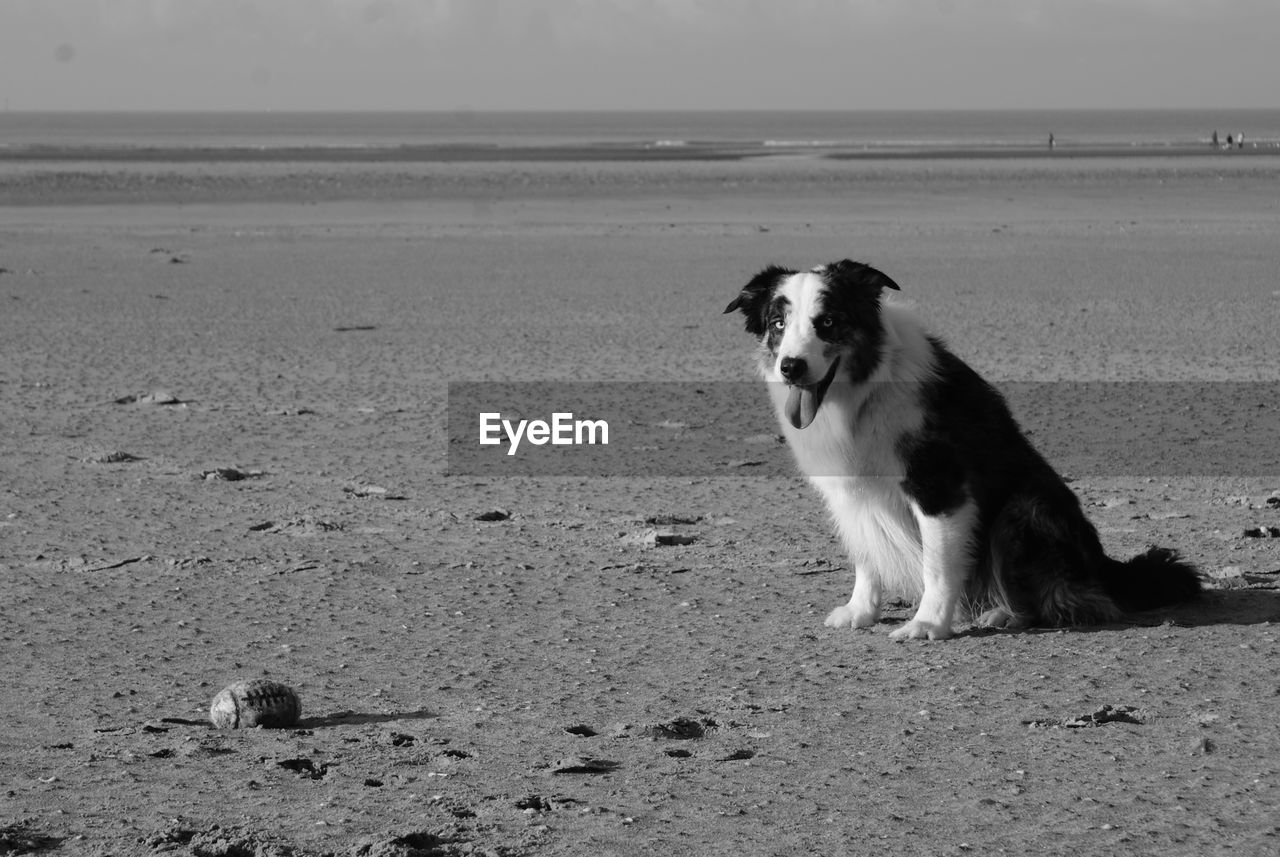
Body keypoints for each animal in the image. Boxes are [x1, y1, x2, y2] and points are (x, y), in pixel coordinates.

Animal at [727, 262, 1203, 644]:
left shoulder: (940, 487)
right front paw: (862, 611)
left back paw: (1006, 613)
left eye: (827, 321)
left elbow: (937, 566)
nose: (791, 367)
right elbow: (866, 552)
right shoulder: (851, 492)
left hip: (1024, 509)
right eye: (777, 324)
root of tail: (1107, 566)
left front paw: (928, 625)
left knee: (1073, 598)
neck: (861, 395)